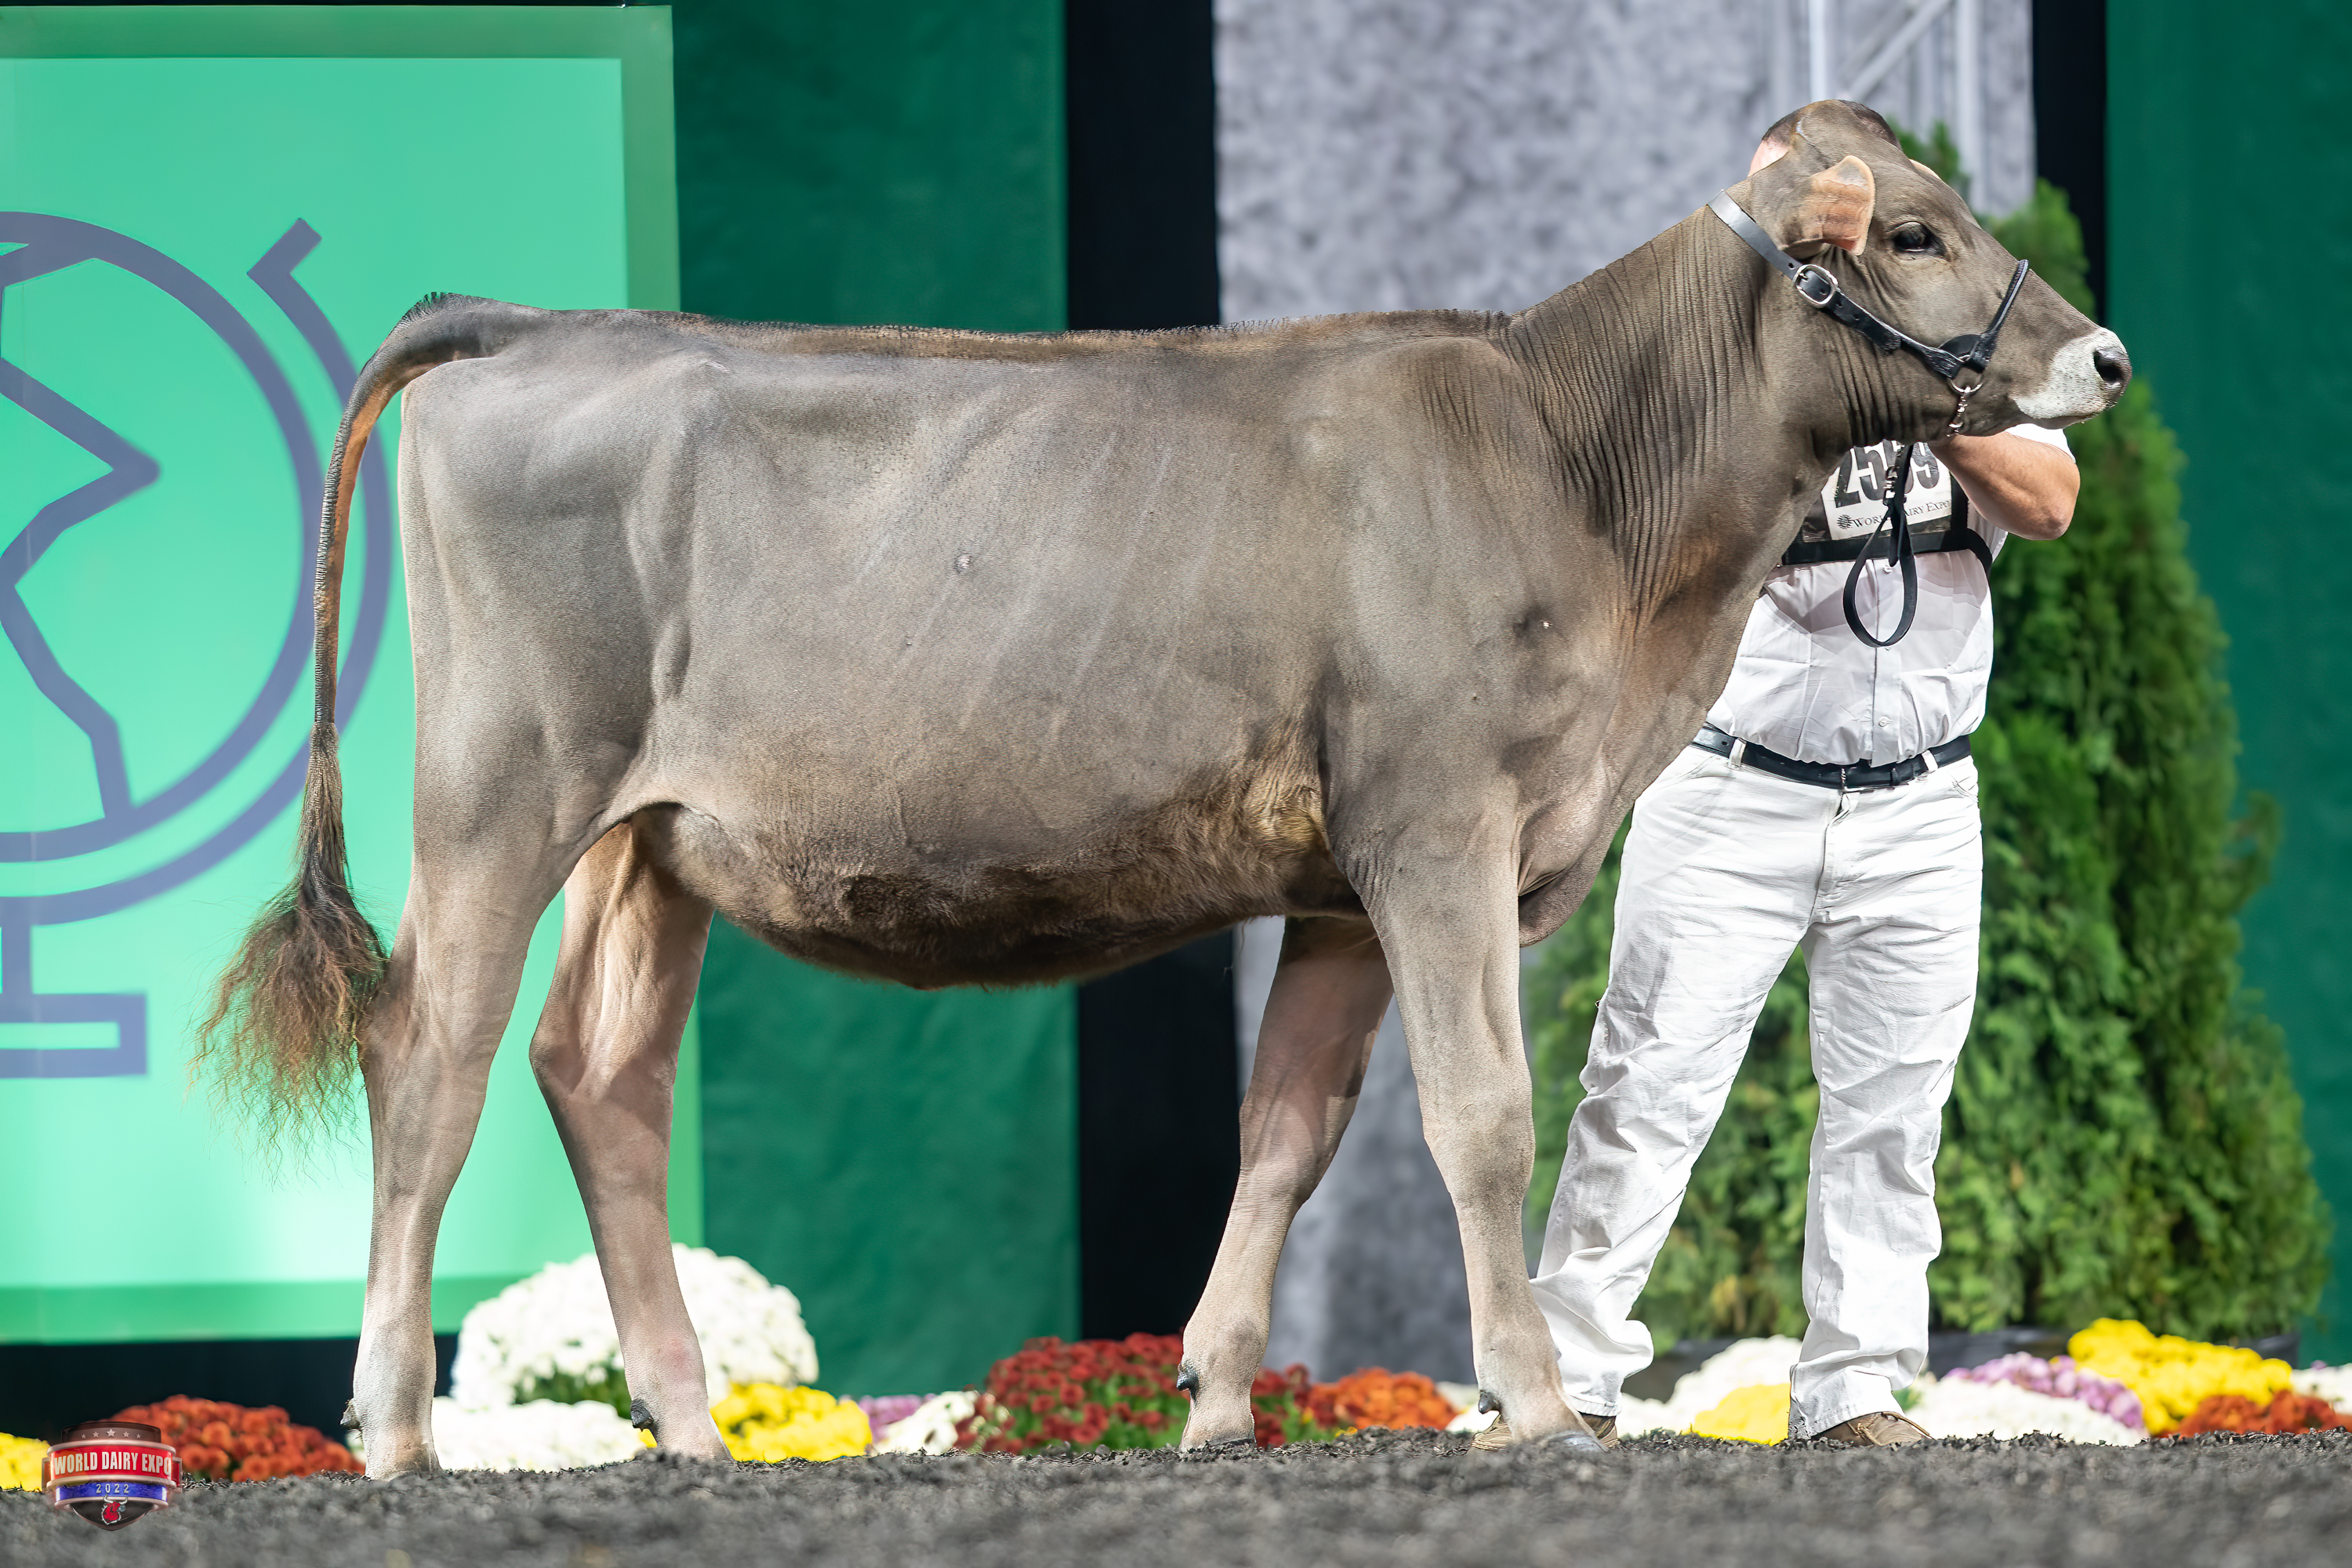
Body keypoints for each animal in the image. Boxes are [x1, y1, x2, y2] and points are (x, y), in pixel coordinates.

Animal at [201, 102, 2126, 1475]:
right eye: (1914, 230)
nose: (2102, 356)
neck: (1585, 475)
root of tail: (537, 327)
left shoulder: (1345, 883)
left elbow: (1288, 1129)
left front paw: (1213, 1403)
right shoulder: (1440, 822)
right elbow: (1484, 1117)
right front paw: (1532, 1403)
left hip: (652, 841)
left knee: (596, 1075)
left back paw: (684, 1426)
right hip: (497, 793)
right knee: (429, 1061)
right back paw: (396, 1432)